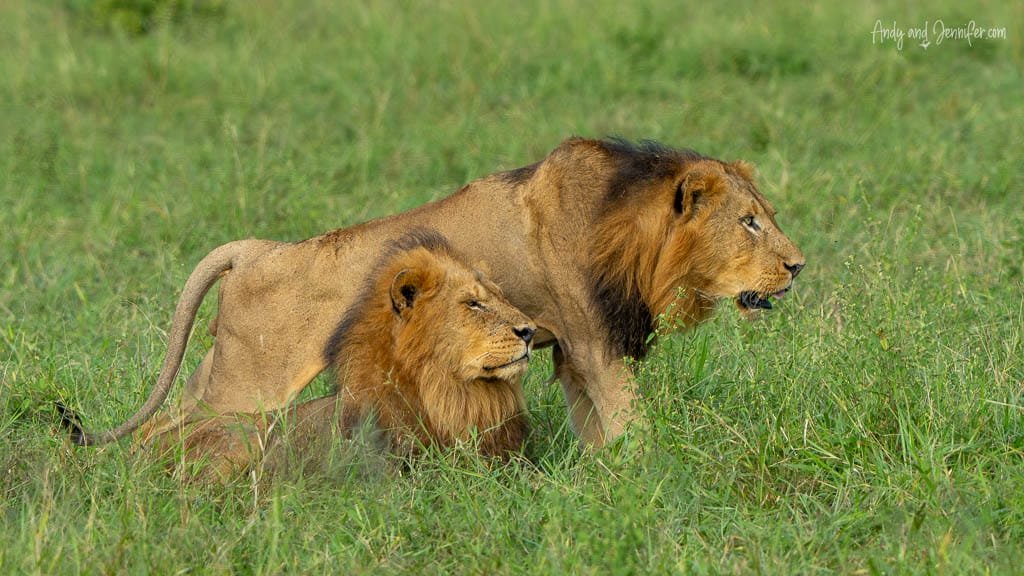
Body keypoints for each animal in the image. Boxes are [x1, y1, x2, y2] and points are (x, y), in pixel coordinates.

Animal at [64, 137, 804, 449]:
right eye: (748, 221)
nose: (798, 266)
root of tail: (256, 248)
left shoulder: (571, 353)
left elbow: (596, 428)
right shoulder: (595, 343)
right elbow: (629, 421)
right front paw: (650, 476)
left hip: (226, 375)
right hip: (247, 384)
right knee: (175, 423)